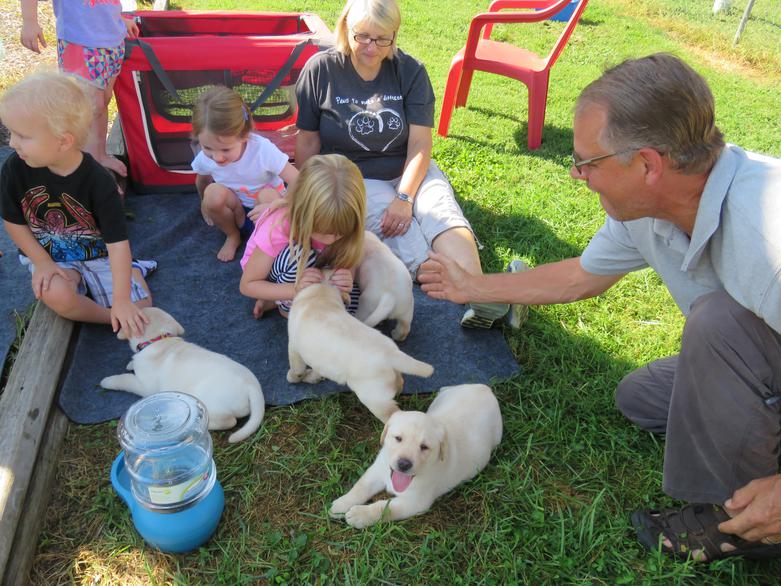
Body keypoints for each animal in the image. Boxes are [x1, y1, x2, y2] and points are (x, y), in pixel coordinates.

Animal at [100, 308, 266, 440]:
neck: (158, 340)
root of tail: (252, 386)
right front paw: (131, 363)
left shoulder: (145, 388)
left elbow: (125, 379)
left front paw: (107, 381)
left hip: (207, 398)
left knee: (229, 421)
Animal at [286, 278, 432, 420]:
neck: (319, 299)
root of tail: (390, 354)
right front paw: (313, 377)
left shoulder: (294, 347)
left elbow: (296, 369)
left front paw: (295, 377)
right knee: (400, 382)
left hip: (373, 398)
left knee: (391, 414)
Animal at [328, 380, 500, 528]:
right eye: (398, 438)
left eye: (424, 447)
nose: (404, 464)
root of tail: (485, 389)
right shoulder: (377, 470)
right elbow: (361, 486)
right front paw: (342, 504)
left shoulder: (414, 503)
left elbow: (385, 508)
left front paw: (360, 515)